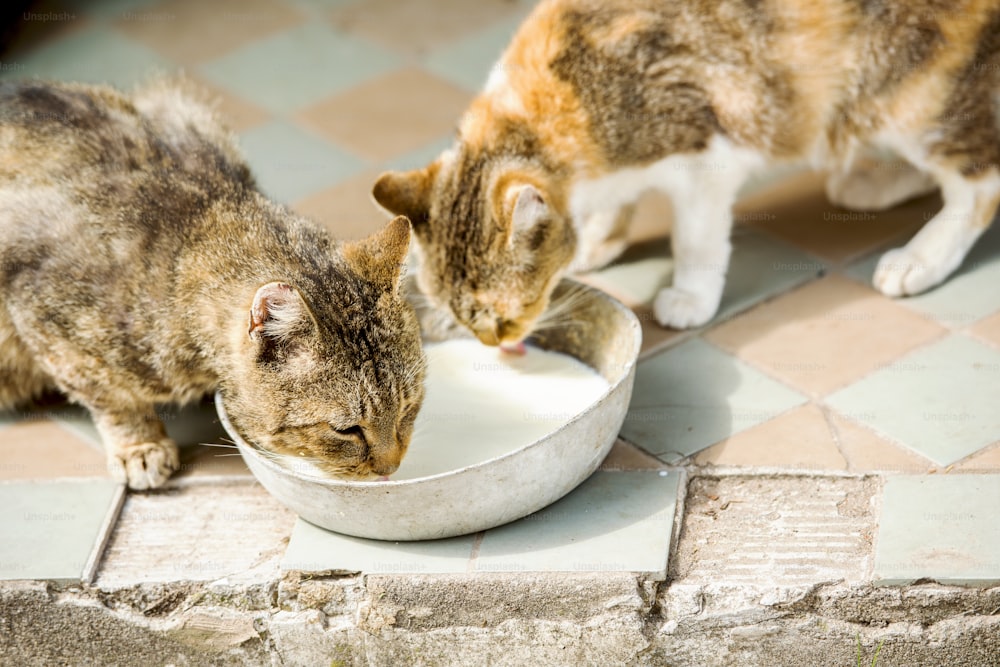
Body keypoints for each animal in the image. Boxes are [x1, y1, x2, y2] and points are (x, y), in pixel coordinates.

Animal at [0, 82, 426, 490]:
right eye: (346, 430)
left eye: (409, 406)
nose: (390, 468)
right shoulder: (44, 311)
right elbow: (110, 396)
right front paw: (139, 444)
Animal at [376, 0, 1000, 344]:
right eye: (454, 314)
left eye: (501, 315)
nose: (490, 345)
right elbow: (609, 204)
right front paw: (596, 239)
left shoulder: (707, 157)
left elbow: (696, 239)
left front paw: (689, 295)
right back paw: (873, 183)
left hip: (910, 96)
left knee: (979, 178)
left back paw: (920, 257)